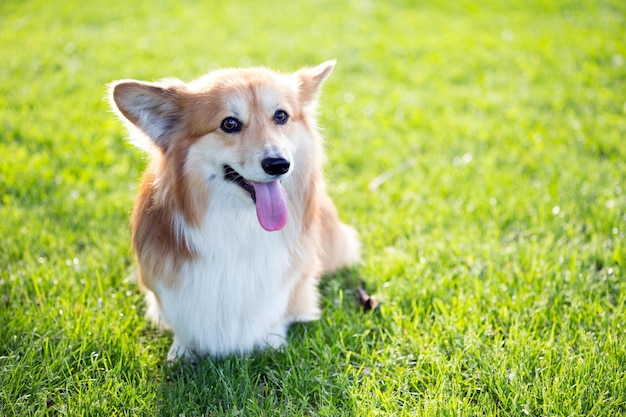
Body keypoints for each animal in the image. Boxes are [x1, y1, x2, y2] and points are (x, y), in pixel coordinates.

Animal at [109, 60, 358, 360]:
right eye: (229, 123)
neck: (240, 225)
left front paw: (272, 341)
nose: (279, 164)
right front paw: (181, 353)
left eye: (281, 116)